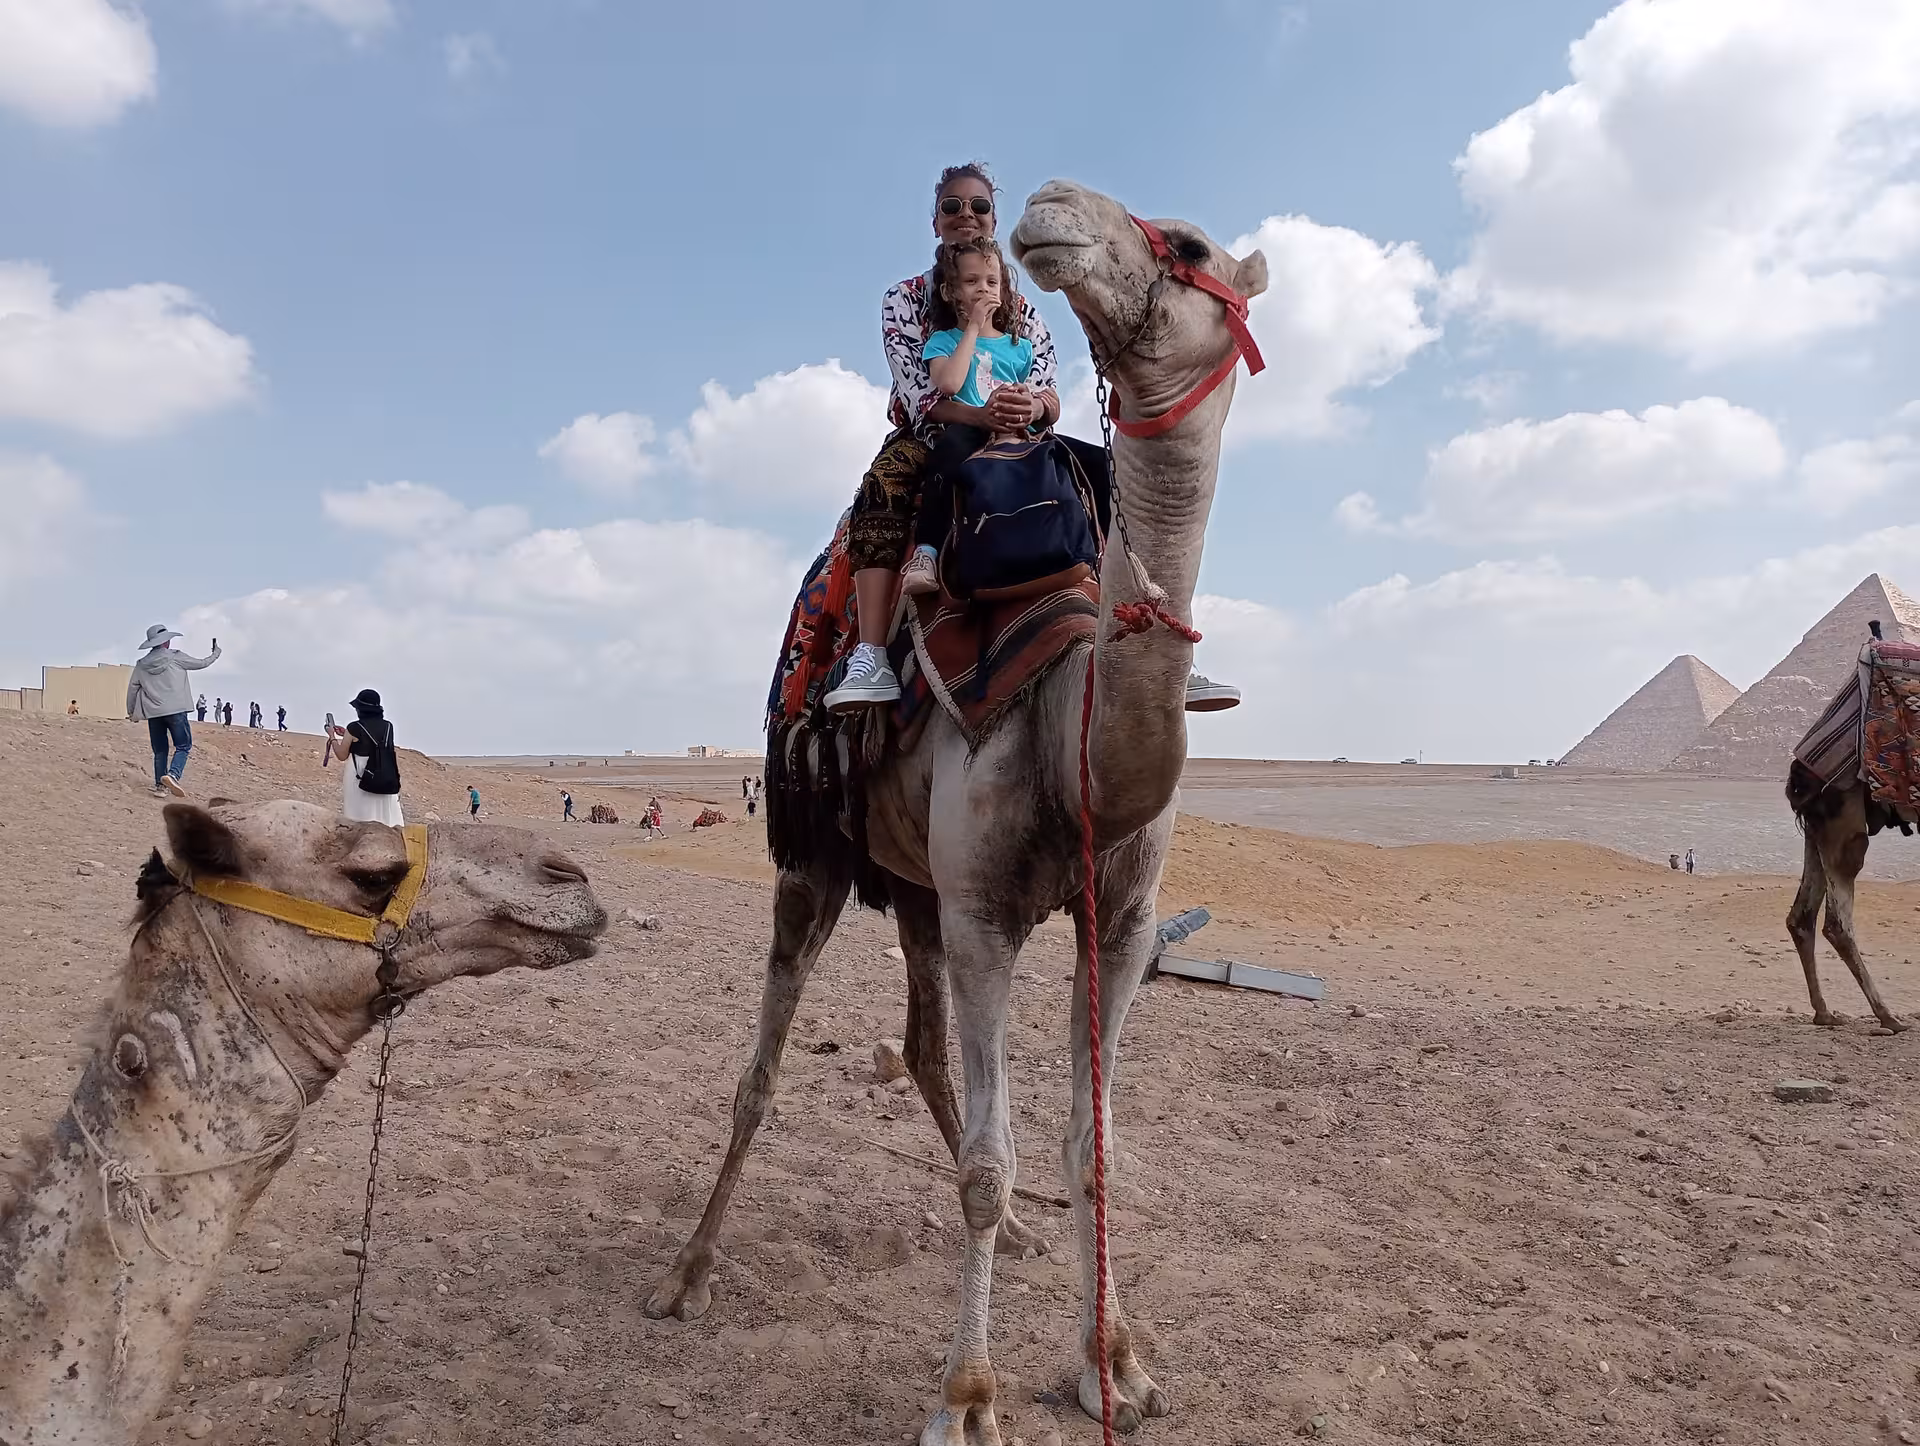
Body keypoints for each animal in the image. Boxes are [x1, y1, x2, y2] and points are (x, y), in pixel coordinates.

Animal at [645, 179, 1267, 1444]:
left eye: (1187, 244)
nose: (1051, 206)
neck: (1082, 746)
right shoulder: (988, 912)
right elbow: (989, 1159)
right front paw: (968, 1399)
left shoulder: (1119, 924)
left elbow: (1091, 1148)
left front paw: (1115, 1364)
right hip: (816, 859)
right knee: (761, 1072)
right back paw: (687, 1273)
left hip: (918, 887)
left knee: (927, 1053)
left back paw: (1023, 1237)